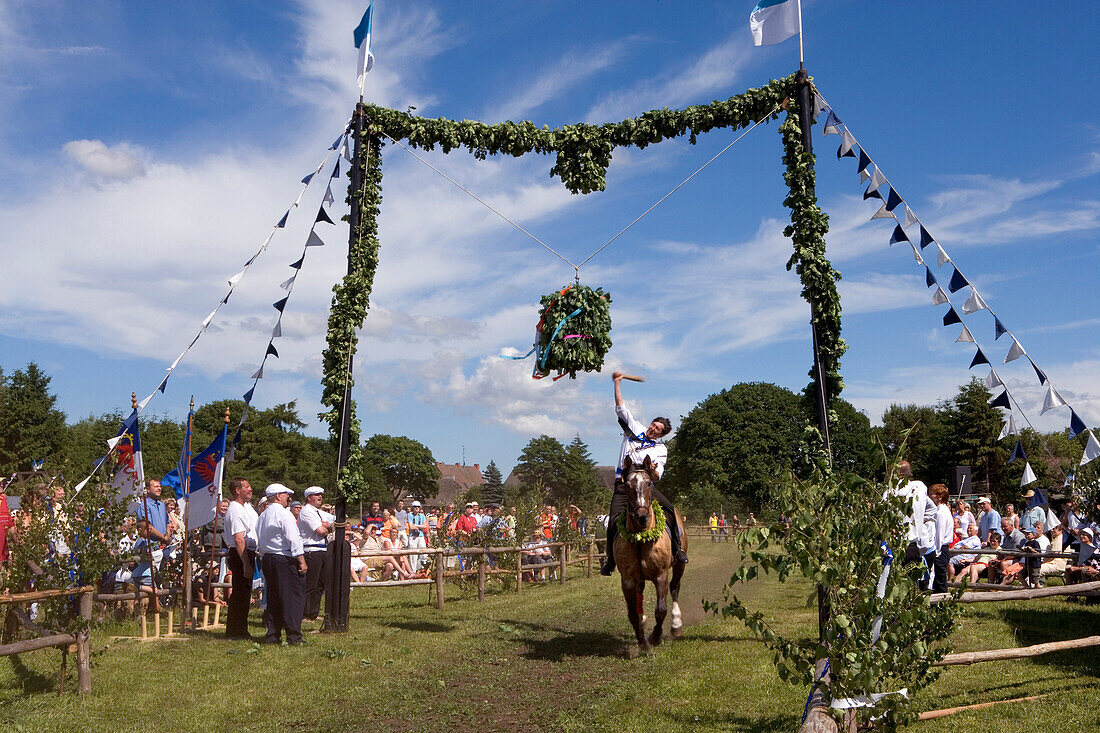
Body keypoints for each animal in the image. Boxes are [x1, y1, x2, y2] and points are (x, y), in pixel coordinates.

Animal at [611, 457, 686, 651]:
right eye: (627, 485)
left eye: (649, 483)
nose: (642, 517)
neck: (640, 539)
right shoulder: (628, 579)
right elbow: (632, 614)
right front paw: (642, 642)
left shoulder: (661, 575)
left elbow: (661, 610)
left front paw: (655, 637)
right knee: (640, 595)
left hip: (679, 565)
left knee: (675, 587)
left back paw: (676, 624)